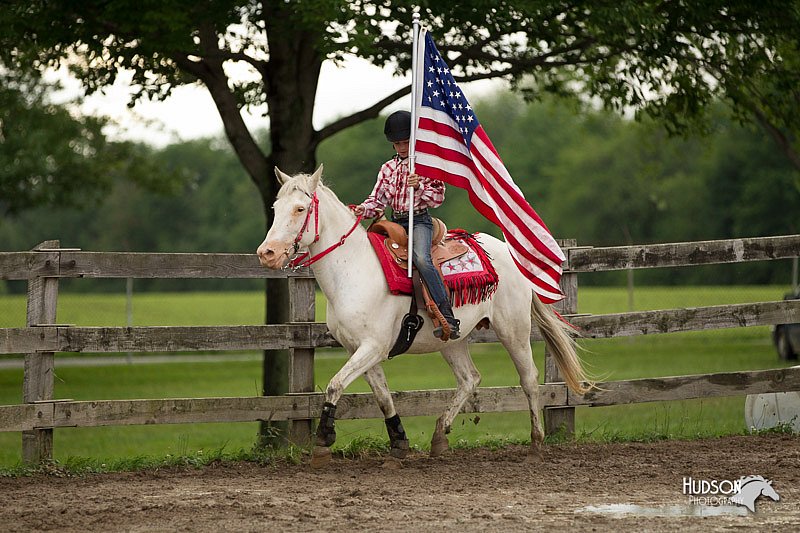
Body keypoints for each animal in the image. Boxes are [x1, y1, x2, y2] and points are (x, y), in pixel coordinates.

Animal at [260, 166, 592, 466]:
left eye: (300, 208)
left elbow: (334, 385)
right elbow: (382, 397)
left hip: (513, 329)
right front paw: (399, 446)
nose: (267, 254)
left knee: (529, 379)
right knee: (470, 379)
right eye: (275, 208)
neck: (353, 268)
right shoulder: (360, 349)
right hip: (452, 340)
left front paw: (322, 443)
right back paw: (439, 437)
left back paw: (535, 445)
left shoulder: (373, 347)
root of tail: (509, 253)